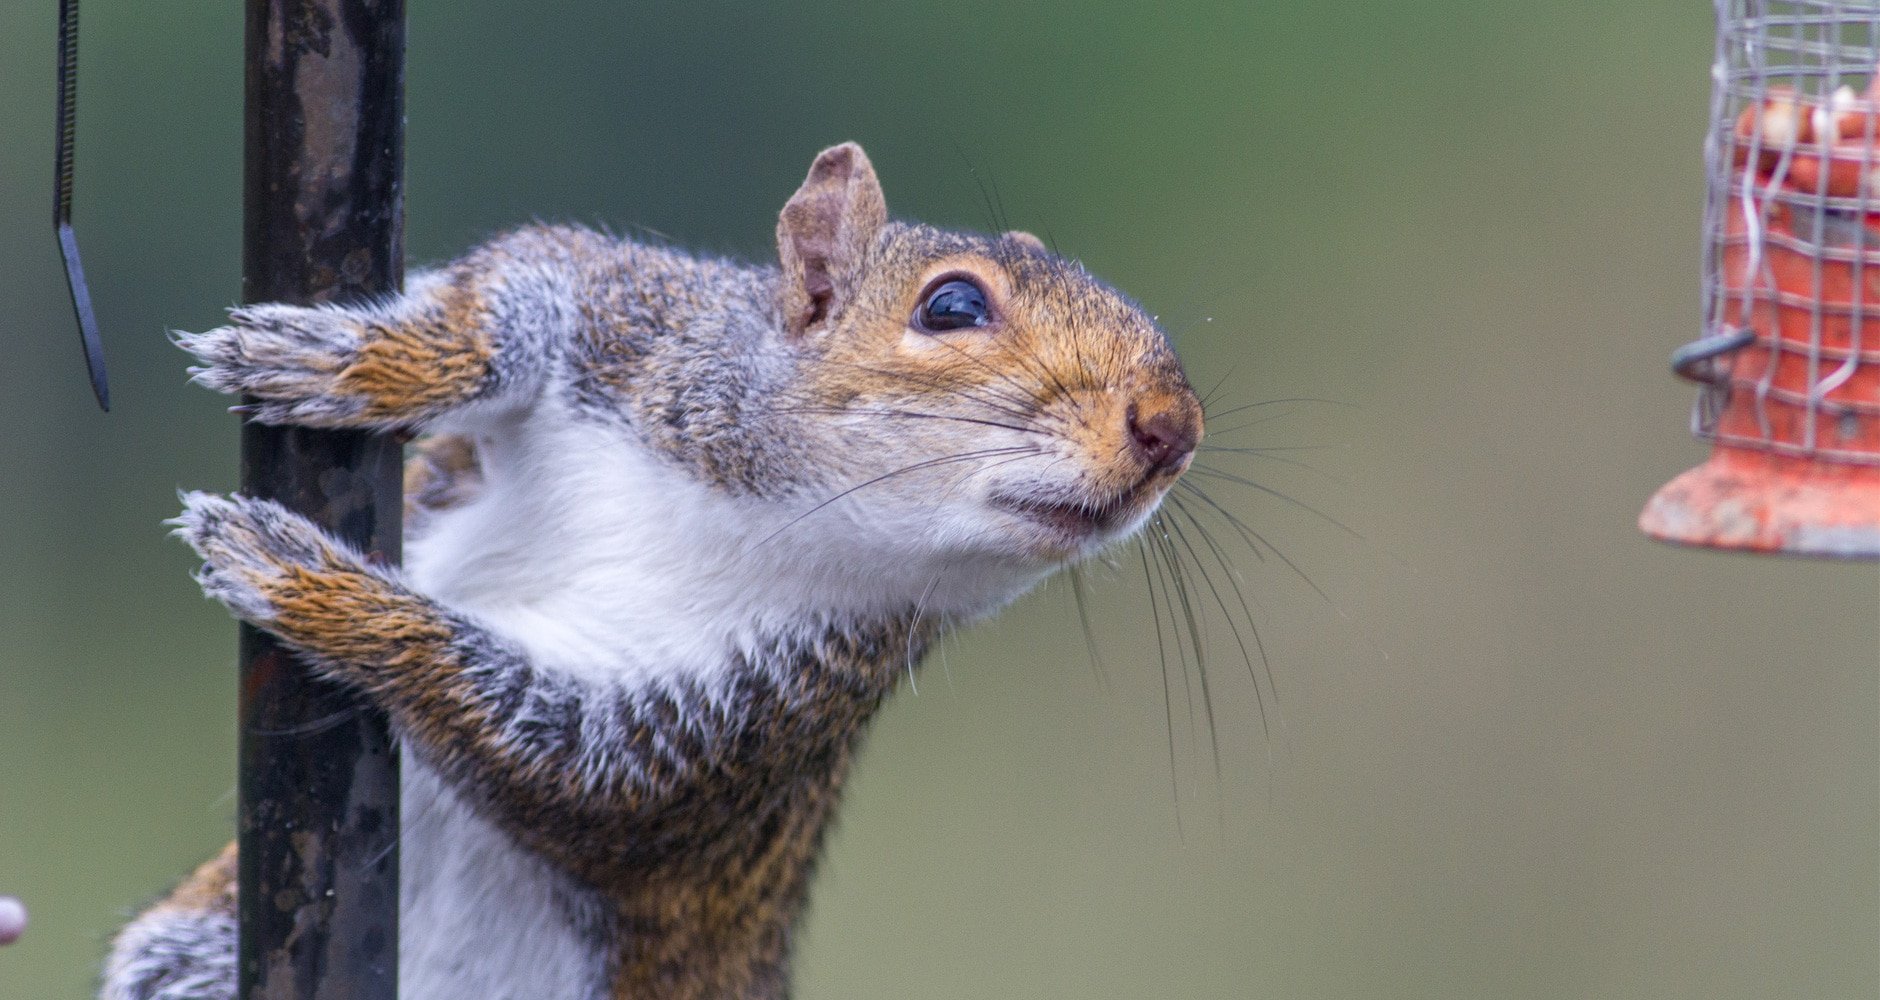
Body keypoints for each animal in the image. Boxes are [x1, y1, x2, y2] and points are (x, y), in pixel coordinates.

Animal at [106, 142, 1203, 1000]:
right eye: (952, 304)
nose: (1172, 429)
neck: (767, 513)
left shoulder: (740, 718)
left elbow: (557, 764)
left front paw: (308, 584)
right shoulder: (636, 317)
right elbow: (514, 296)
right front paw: (366, 363)